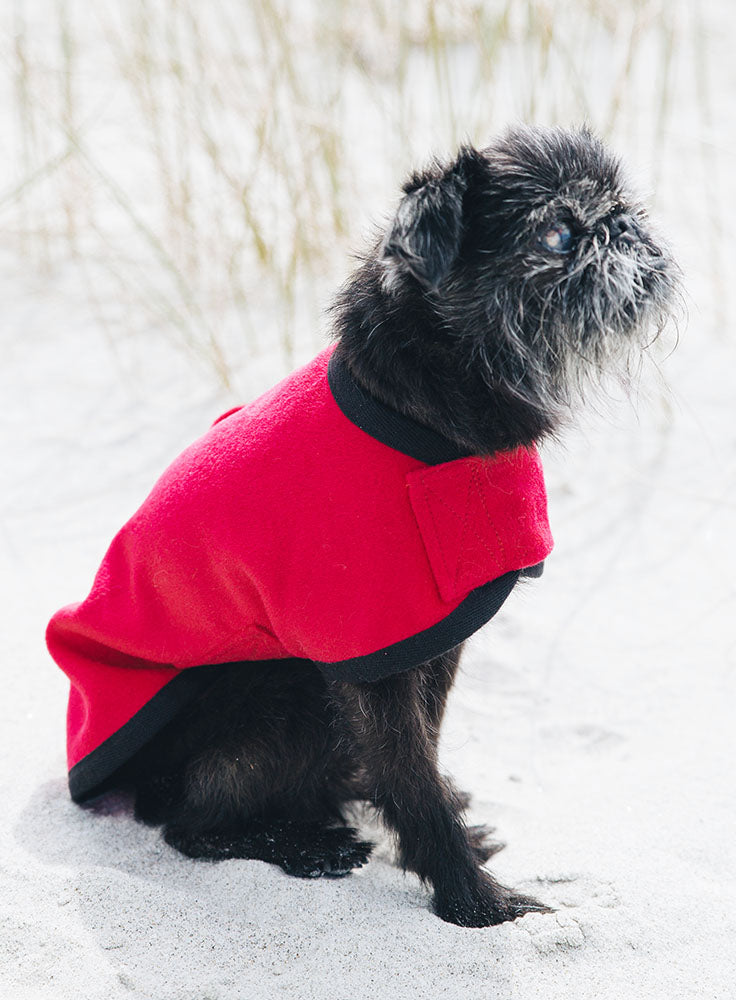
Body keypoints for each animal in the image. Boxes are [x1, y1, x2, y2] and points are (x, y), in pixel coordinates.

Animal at [116, 127, 680, 928]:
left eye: (620, 204)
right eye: (559, 234)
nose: (625, 226)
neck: (425, 408)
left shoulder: (433, 637)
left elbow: (422, 754)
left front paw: (456, 837)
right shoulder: (371, 657)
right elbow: (411, 774)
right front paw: (475, 900)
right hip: (284, 703)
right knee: (188, 826)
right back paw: (305, 843)